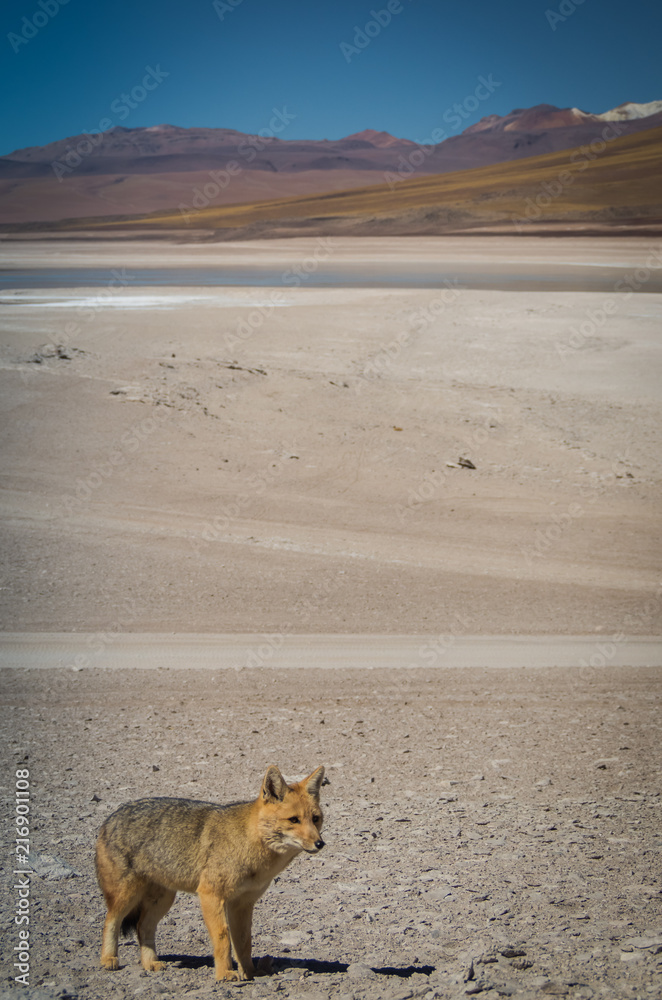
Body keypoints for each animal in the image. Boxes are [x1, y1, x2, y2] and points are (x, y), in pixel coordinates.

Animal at [95, 764, 325, 982]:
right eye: (294, 820)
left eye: (316, 819)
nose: (320, 843)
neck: (250, 842)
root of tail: (109, 818)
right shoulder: (211, 895)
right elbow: (223, 938)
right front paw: (225, 974)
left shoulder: (242, 903)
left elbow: (244, 942)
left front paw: (249, 973)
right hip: (127, 895)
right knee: (110, 922)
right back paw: (108, 959)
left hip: (163, 900)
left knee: (143, 927)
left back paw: (150, 963)